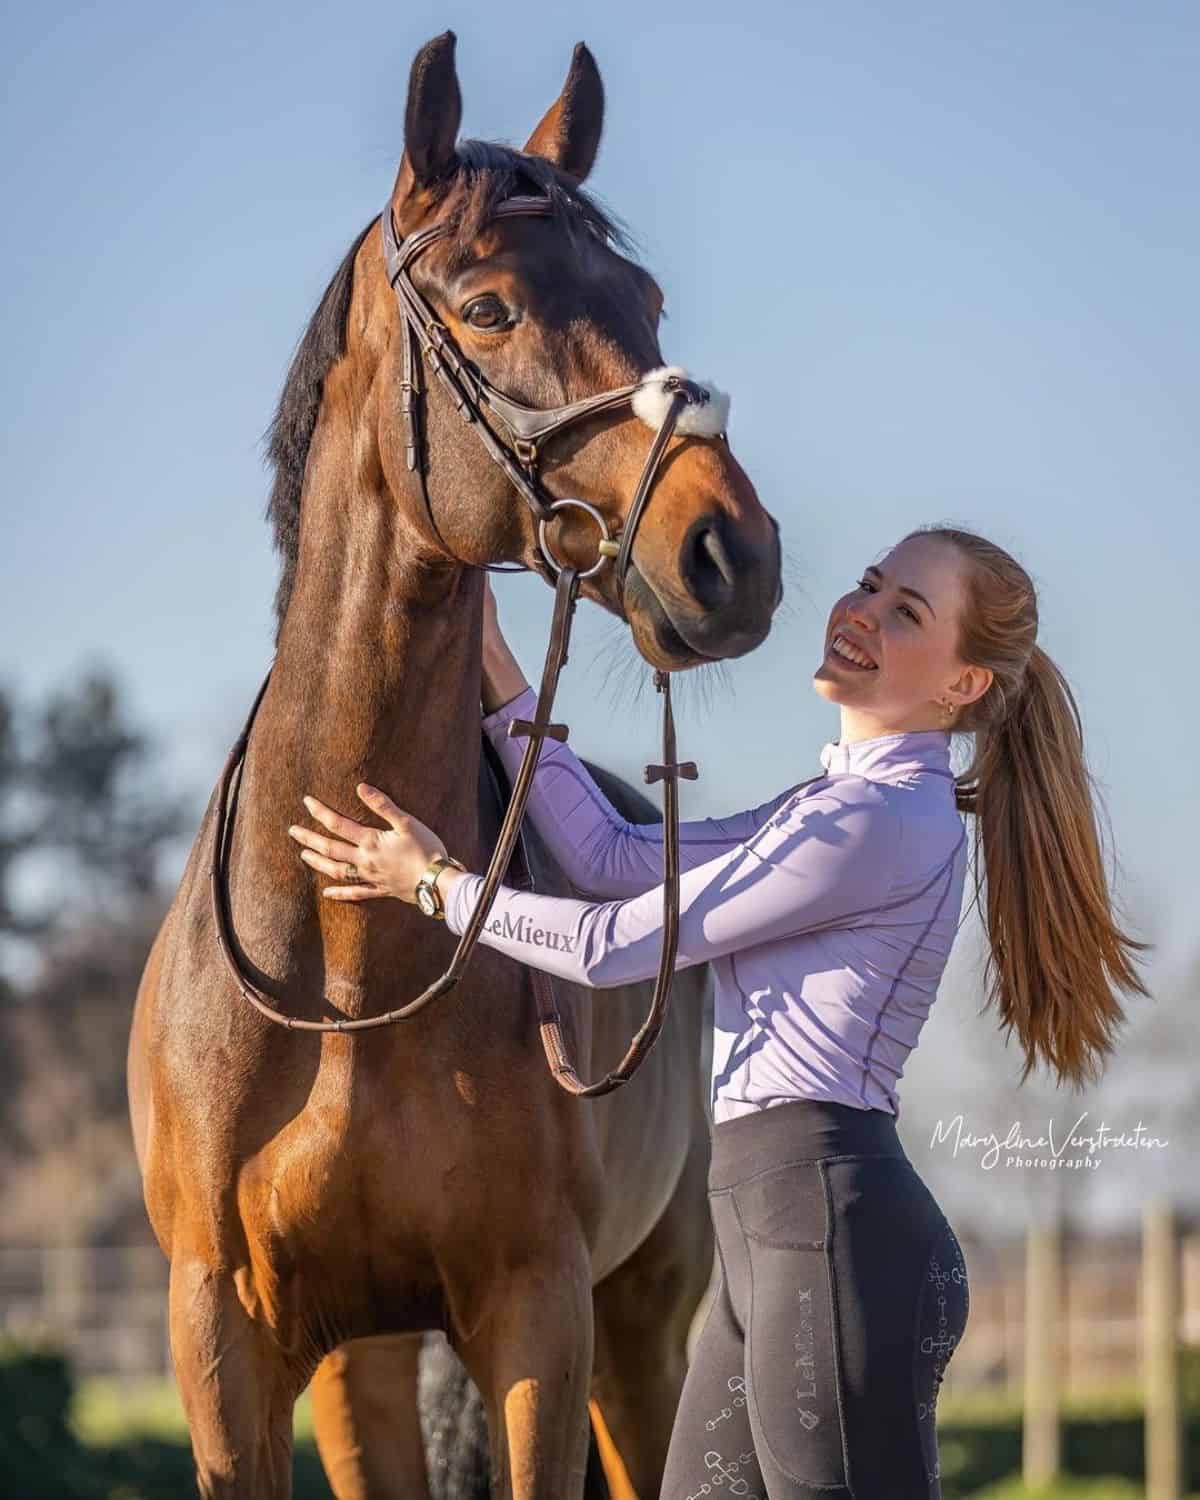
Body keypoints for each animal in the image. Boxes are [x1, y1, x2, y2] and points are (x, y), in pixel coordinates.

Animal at [126, 35, 780, 1500]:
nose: (732, 554)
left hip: (640, 1329)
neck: (345, 965)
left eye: (647, 299)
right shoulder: (235, 1348)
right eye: (486, 307)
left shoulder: (537, 1320)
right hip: (364, 1364)